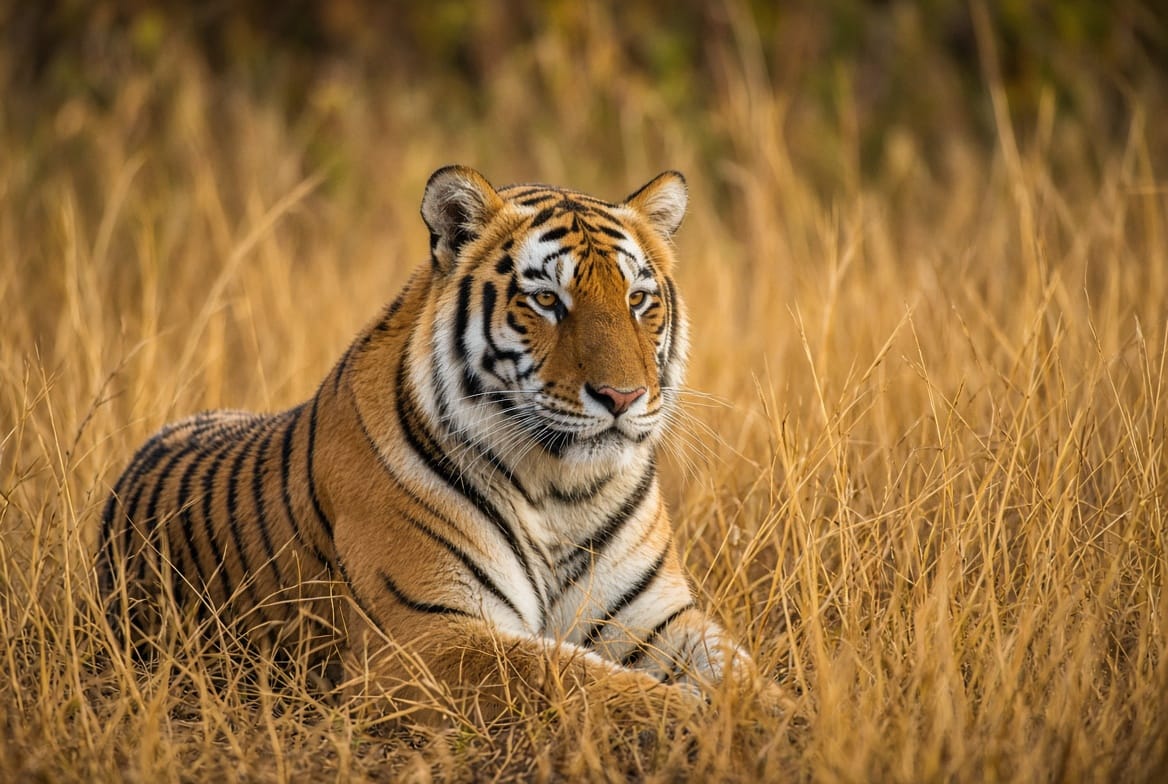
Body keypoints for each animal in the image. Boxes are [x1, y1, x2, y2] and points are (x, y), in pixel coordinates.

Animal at [98, 165, 784, 720]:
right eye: (546, 299)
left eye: (638, 299)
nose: (623, 397)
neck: (562, 491)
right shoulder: (425, 637)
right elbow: (576, 679)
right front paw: (701, 719)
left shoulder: (653, 621)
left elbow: (739, 670)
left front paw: (778, 715)